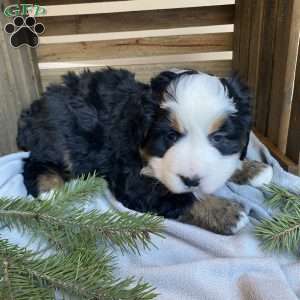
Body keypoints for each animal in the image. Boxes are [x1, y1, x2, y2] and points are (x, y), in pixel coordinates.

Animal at [17, 68, 274, 234]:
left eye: (218, 138)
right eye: (170, 136)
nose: (191, 180)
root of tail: (34, 110)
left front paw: (252, 169)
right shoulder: (131, 179)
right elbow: (176, 196)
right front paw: (226, 213)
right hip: (58, 138)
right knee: (34, 163)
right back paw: (51, 189)